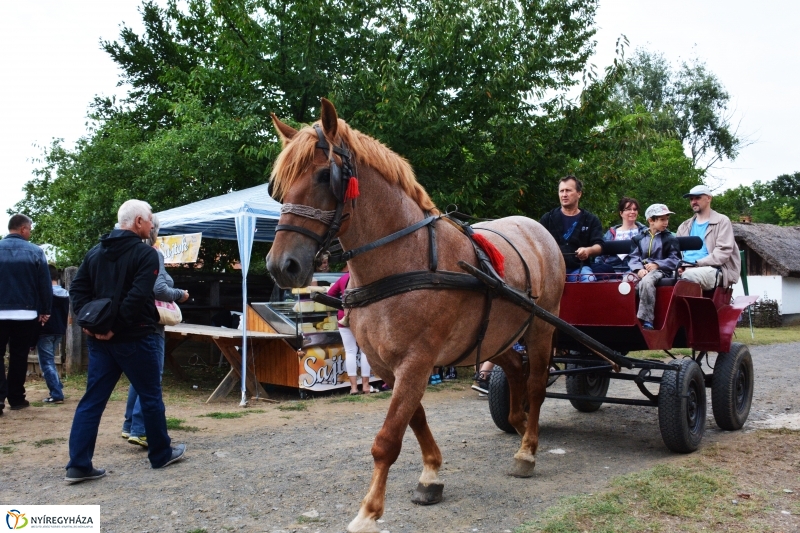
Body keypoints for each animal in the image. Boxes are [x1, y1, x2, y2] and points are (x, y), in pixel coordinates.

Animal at [266, 98, 564, 532]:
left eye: (324, 176)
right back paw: (520, 420)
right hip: (497, 335)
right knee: (515, 371)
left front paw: (369, 512)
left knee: (538, 384)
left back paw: (528, 449)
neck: (402, 259)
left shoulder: (417, 360)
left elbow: (388, 438)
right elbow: (415, 419)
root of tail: (537, 229)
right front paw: (431, 474)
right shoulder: (386, 364)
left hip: (542, 327)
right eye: (279, 186)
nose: (281, 266)